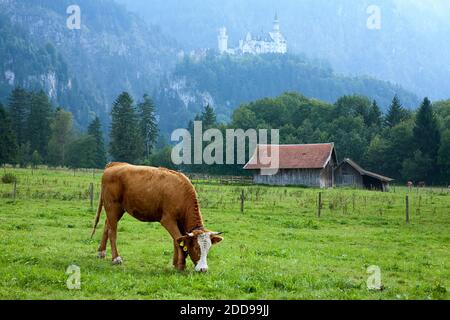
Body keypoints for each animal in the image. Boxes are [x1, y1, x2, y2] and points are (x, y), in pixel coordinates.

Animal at [91, 162, 223, 272]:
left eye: (209, 249)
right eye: (196, 247)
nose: (203, 269)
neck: (181, 194)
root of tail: (114, 164)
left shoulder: (180, 223)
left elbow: (177, 240)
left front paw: (175, 263)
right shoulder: (167, 220)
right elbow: (177, 240)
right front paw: (181, 265)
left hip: (117, 210)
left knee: (107, 225)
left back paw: (101, 252)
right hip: (112, 206)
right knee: (112, 231)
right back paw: (116, 258)